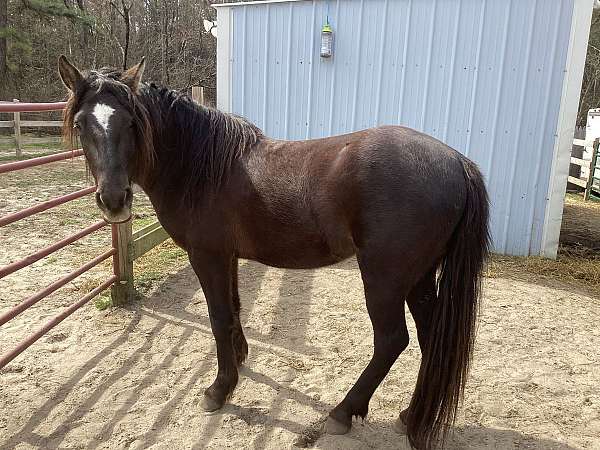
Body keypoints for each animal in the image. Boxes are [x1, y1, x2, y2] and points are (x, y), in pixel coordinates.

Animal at [58, 57, 490, 450]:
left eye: (131, 123)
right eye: (81, 124)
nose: (114, 200)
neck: (199, 166)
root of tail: (457, 162)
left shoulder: (207, 256)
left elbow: (218, 318)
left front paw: (219, 390)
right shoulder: (227, 257)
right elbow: (234, 310)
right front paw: (239, 360)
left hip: (385, 278)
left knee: (391, 340)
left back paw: (342, 413)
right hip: (420, 278)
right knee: (431, 339)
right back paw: (411, 417)